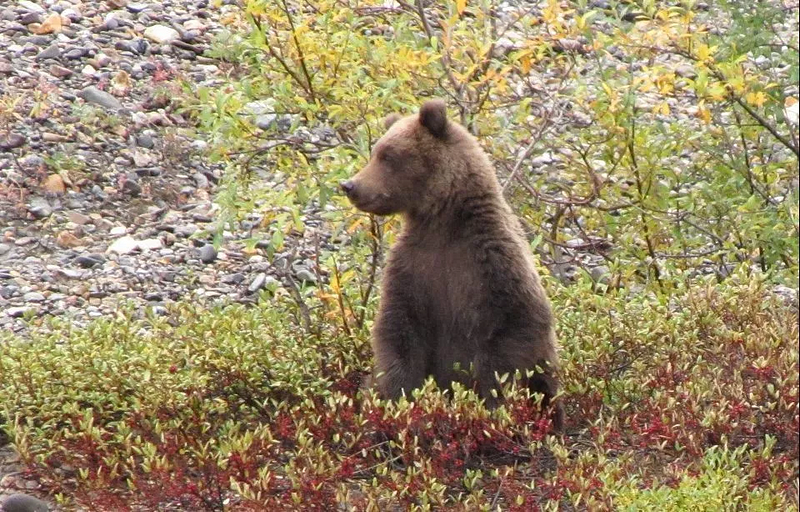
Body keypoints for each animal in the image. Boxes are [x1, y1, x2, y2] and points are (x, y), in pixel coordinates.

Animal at [340, 99, 564, 428]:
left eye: (388, 155)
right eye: (376, 151)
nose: (350, 185)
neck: (443, 224)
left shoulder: (492, 263)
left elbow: (516, 328)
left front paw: (490, 402)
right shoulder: (413, 267)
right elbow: (397, 331)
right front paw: (399, 401)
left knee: (544, 387)